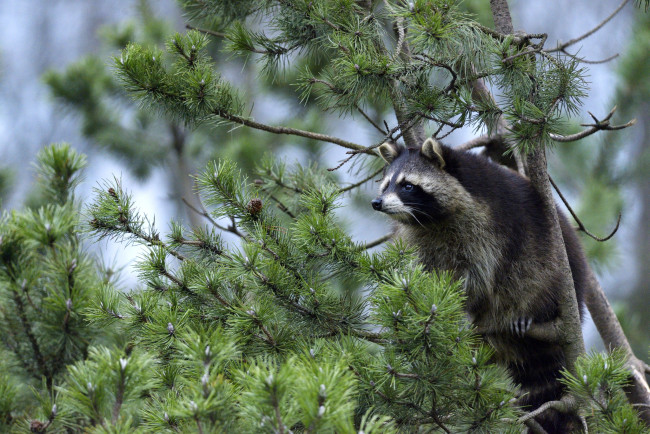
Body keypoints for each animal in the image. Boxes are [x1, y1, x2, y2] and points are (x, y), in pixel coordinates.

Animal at [370, 138, 588, 430]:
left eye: (407, 185)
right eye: (385, 185)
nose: (377, 202)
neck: (431, 219)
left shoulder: (486, 225)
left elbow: (481, 274)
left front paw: (465, 307)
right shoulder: (421, 239)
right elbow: (427, 273)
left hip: (558, 264)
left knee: (530, 274)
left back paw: (526, 311)